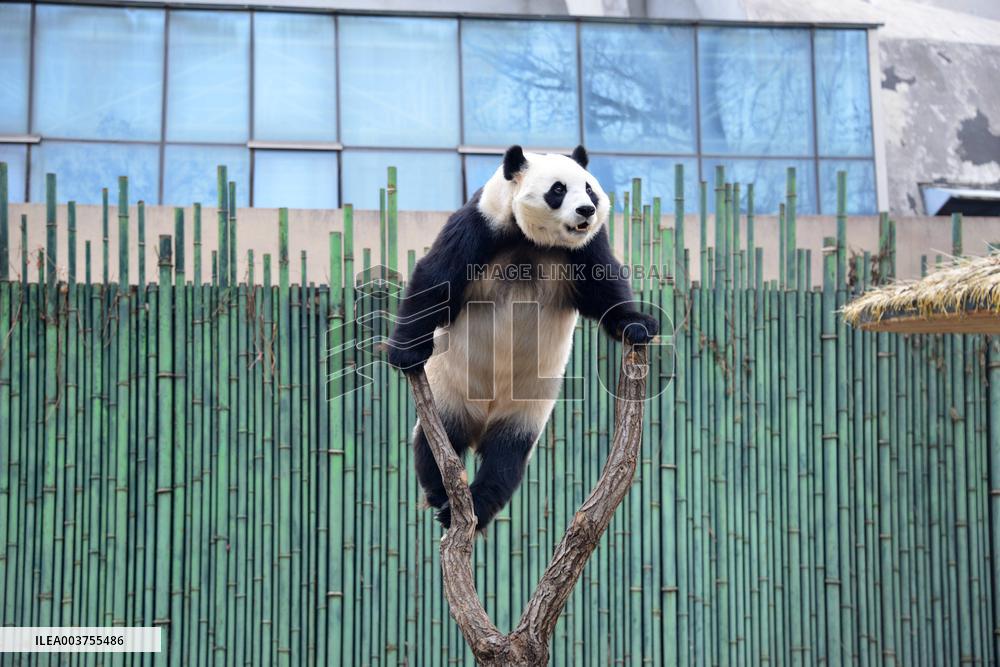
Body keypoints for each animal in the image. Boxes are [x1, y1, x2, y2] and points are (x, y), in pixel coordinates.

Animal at [387, 144, 658, 531]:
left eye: (589, 189)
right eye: (558, 190)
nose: (587, 211)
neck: (532, 242)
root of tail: (482, 418)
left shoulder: (583, 248)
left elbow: (604, 289)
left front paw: (638, 324)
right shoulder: (481, 225)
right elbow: (436, 277)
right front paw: (406, 353)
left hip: (526, 410)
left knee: (506, 459)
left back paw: (477, 505)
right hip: (448, 394)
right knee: (435, 443)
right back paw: (443, 499)